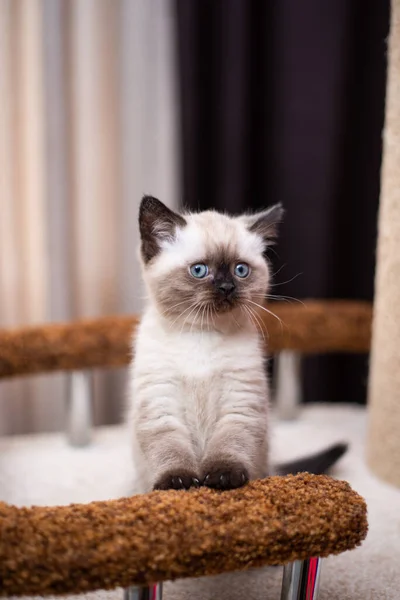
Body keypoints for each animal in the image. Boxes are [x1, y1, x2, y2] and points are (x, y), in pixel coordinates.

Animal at [126, 197, 346, 492]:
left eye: (241, 270)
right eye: (199, 270)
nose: (227, 287)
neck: (202, 334)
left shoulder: (239, 400)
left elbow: (229, 445)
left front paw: (222, 480)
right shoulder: (161, 403)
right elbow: (170, 451)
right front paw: (179, 484)